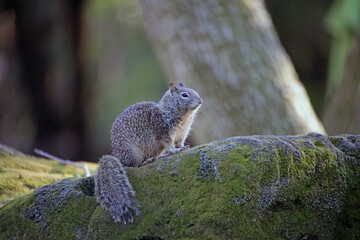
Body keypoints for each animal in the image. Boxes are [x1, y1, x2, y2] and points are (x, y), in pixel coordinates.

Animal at [95, 83, 202, 225]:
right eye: (184, 95)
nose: (200, 101)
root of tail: (118, 156)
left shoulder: (182, 134)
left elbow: (180, 143)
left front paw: (183, 147)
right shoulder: (163, 132)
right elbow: (169, 145)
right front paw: (174, 151)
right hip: (133, 152)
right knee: (134, 165)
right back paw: (148, 161)